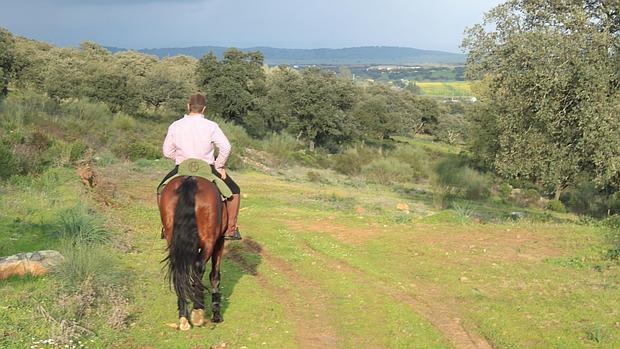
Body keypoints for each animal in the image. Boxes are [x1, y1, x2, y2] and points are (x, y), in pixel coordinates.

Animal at [160, 175, 228, 330]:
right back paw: (197, 312)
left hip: (172, 238)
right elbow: (215, 275)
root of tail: (190, 179)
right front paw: (216, 314)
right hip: (210, 240)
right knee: (199, 266)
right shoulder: (219, 241)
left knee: (178, 269)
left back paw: (184, 316)